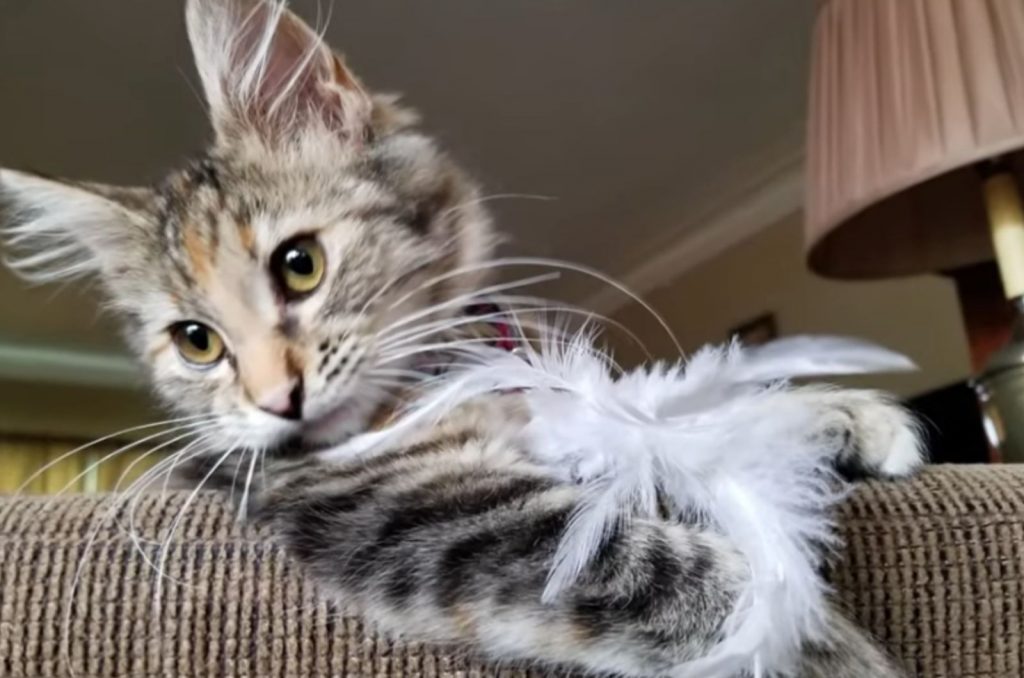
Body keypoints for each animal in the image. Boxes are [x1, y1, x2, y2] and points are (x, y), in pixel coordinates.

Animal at [0, 2, 925, 675]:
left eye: (301, 266)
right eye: (197, 342)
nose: (275, 401)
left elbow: (658, 414)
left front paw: (839, 413)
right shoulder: (414, 511)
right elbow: (685, 575)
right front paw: (832, 654)